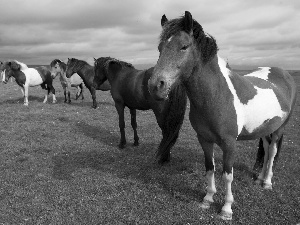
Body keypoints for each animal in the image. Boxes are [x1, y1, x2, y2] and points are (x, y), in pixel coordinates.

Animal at [146, 11, 296, 221]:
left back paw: (267, 182)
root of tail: (283, 72)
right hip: (266, 128)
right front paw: (207, 199)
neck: (216, 95)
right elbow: (210, 168)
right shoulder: (204, 140)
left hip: (279, 129)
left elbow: (227, 175)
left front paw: (226, 209)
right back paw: (259, 178)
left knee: (273, 152)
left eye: (183, 46)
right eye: (160, 48)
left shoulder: (229, 144)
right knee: (266, 151)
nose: (155, 86)